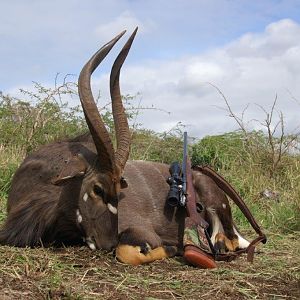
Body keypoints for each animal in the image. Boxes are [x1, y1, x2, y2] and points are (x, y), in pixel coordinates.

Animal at [0, 28, 251, 264]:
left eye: (118, 189)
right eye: (98, 189)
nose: (108, 242)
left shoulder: (141, 231)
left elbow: (128, 251)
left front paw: (173, 248)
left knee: (232, 239)